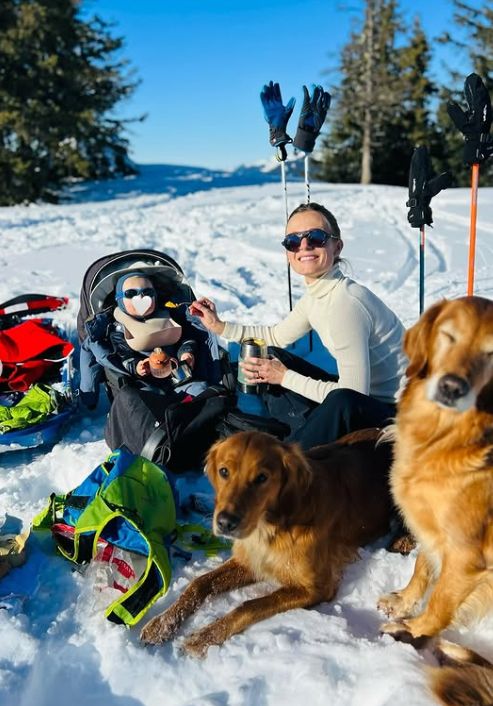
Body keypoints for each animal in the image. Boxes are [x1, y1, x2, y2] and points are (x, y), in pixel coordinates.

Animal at [139, 424, 392, 656]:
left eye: (262, 478)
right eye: (224, 471)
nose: (225, 523)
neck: (271, 526)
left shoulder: (317, 588)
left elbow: (249, 606)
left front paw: (204, 637)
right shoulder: (251, 560)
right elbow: (199, 583)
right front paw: (161, 625)